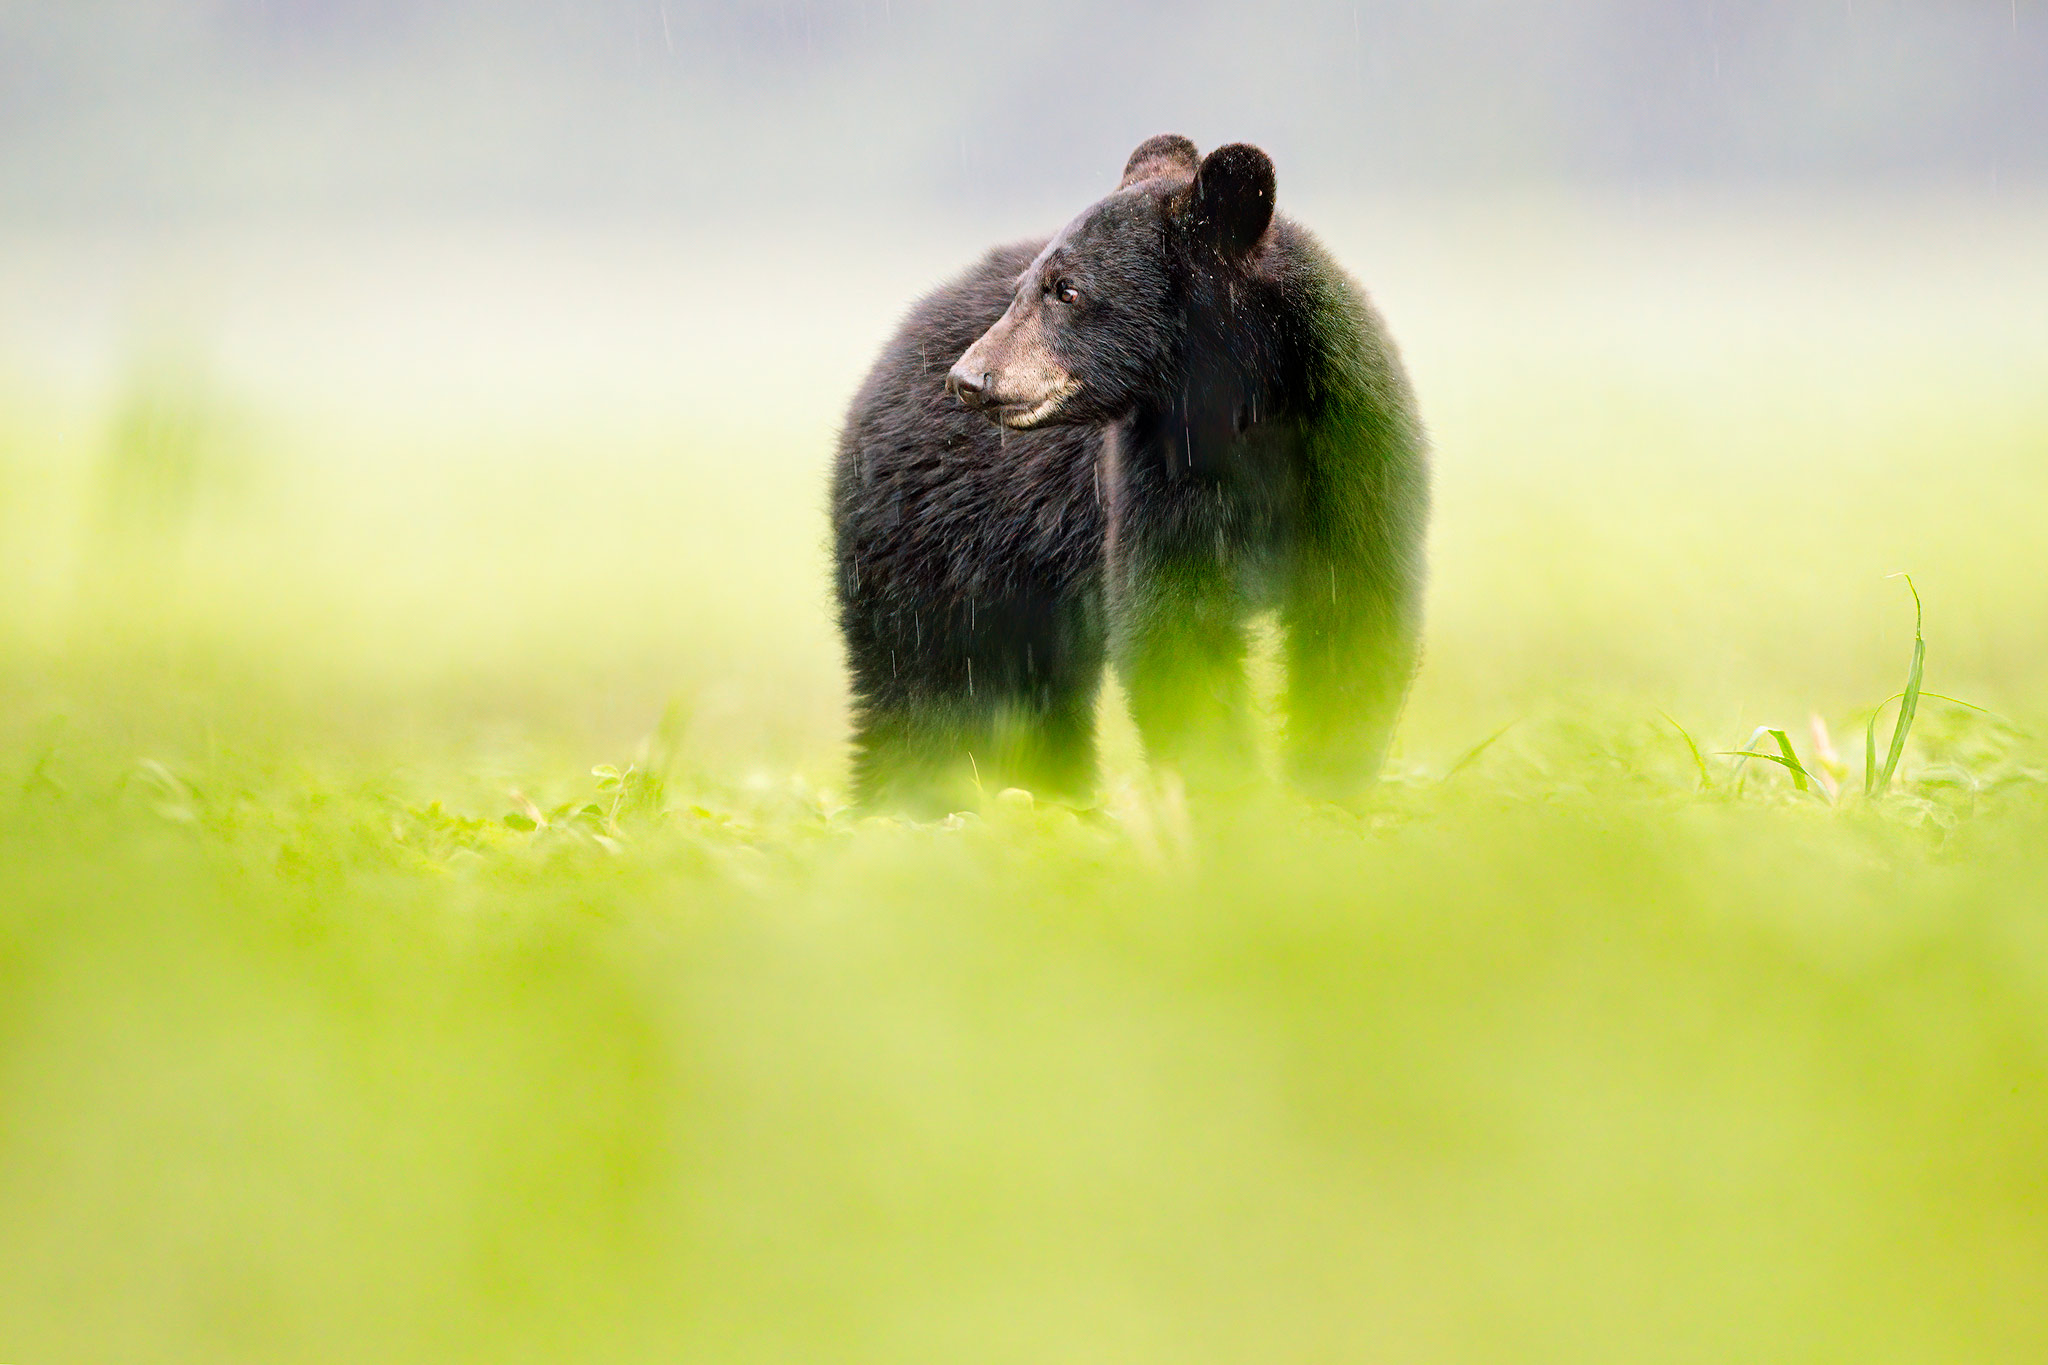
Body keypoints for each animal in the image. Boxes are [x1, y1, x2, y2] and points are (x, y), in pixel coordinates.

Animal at [827, 136, 1425, 810]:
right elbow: (1175, 629)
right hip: (943, 540)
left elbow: (1356, 624)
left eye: (1066, 289)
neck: (1244, 415)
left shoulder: (1355, 461)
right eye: (1025, 288)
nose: (968, 378)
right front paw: (1229, 795)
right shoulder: (1155, 483)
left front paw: (1324, 792)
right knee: (932, 683)